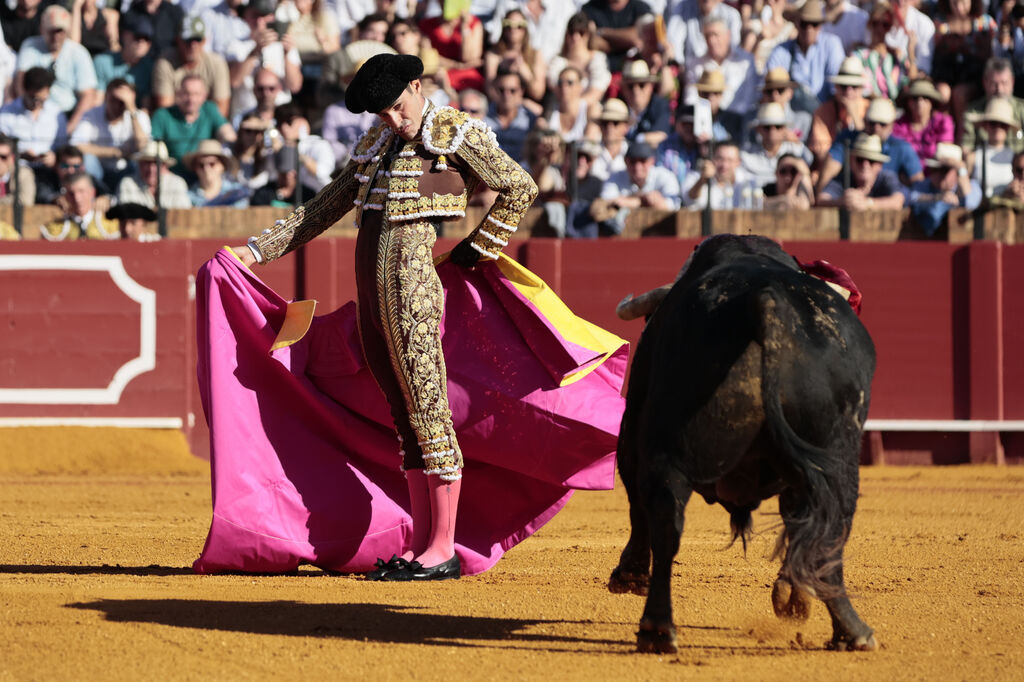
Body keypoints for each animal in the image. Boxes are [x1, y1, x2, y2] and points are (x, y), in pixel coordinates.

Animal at [606, 235, 880, 655]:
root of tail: (765, 302)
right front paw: (792, 597)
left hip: (668, 441)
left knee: (664, 516)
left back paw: (656, 628)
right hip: (839, 459)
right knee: (831, 531)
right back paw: (852, 631)